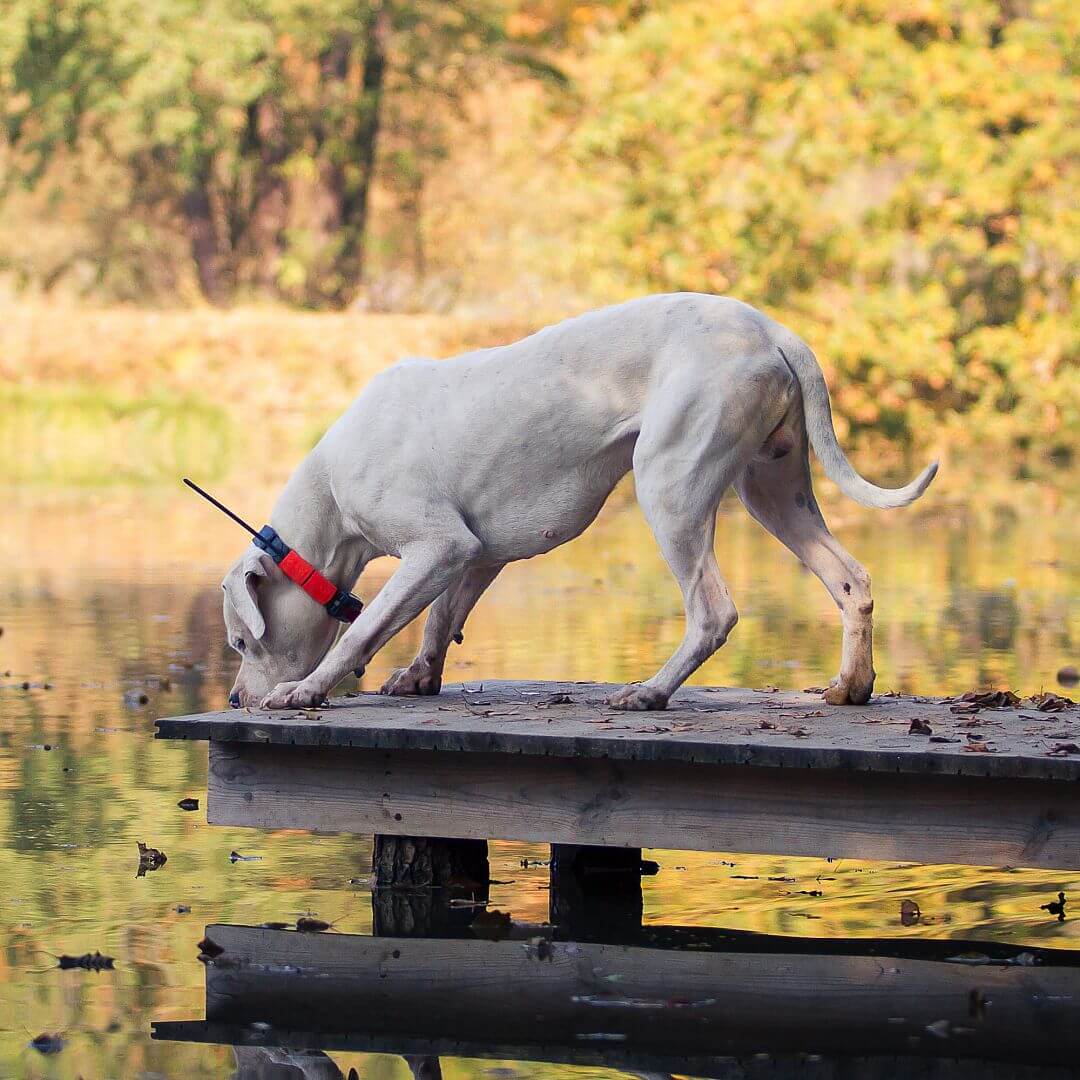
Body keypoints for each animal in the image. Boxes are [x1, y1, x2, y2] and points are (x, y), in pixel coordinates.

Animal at [221, 298, 937, 717]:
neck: (331, 490)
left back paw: (650, 692)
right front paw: (420, 676)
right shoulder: (475, 553)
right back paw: (851, 686)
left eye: (240, 640)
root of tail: (771, 328)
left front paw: (305, 690)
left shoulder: (436, 547)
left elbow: (366, 628)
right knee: (850, 578)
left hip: (670, 487)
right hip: (772, 491)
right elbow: (441, 618)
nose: (231, 696)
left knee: (713, 612)